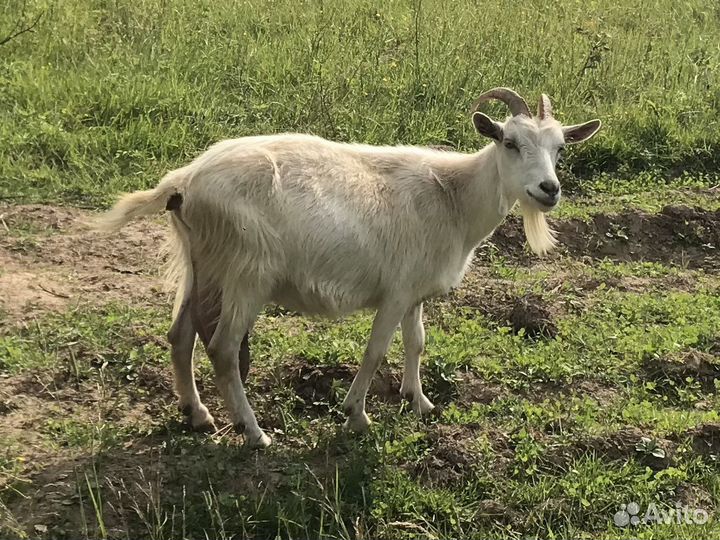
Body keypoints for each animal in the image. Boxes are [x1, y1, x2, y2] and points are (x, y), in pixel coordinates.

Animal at [95, 88, 601, 448]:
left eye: (560, 148)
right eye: (510, 142)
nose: (549, 189)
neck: (452, 196)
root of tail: (182, 182)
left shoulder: (414, 291)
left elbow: (417, 343)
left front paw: (419, 402)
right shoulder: (395, 293)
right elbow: (376, 350)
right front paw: (356, 415)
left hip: (202, 264)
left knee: (179, 335)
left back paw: (197, 415)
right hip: (246, 273)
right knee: (222, 348)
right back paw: (254, 432)